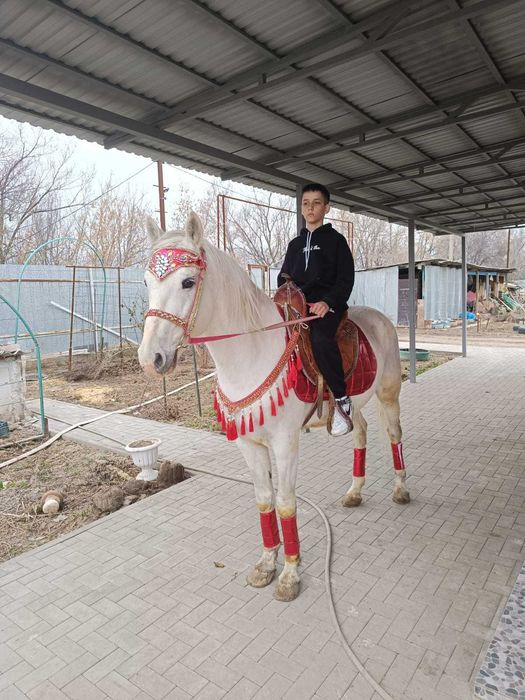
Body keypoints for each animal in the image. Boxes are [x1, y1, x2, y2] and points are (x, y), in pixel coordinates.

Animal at [138, 212, 410, 602]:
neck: (251, 351)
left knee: (394, 434)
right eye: (146, 281)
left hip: (388, 394)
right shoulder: (249, 443)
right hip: (356, 403)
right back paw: (354, 492)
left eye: (188, 282)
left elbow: (285, 503)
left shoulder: (285, 442)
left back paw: (401, 489)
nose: (151, 359)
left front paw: (290, 576)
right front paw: (267, 565)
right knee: (361, 432)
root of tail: (381, 318)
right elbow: (264, 501)